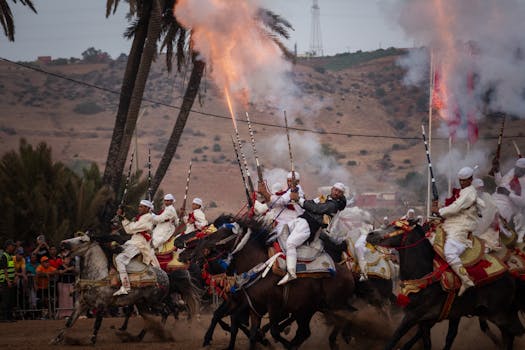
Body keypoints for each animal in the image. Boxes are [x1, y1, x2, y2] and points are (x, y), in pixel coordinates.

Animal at [51, 232, 199, 344]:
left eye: (82, 240)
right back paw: (139, 336)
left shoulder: (102, 305)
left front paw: (92, 341)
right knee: (152, 317)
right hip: (142, 303)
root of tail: (166, 275)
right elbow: (69, 322)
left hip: (154, 301)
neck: (98, 276)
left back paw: (161, 332)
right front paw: (56, 339)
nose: (63, 243)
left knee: (166, 312)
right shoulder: (81, 303)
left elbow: (97, 323)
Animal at [366, 220, 520, 348]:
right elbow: (426, 343)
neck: (424, 274)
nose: (370, 234)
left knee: (512, 333)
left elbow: (393, 340)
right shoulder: (425, 321)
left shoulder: (412, 316)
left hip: (499, 315)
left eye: (397, 227)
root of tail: (510, 276)